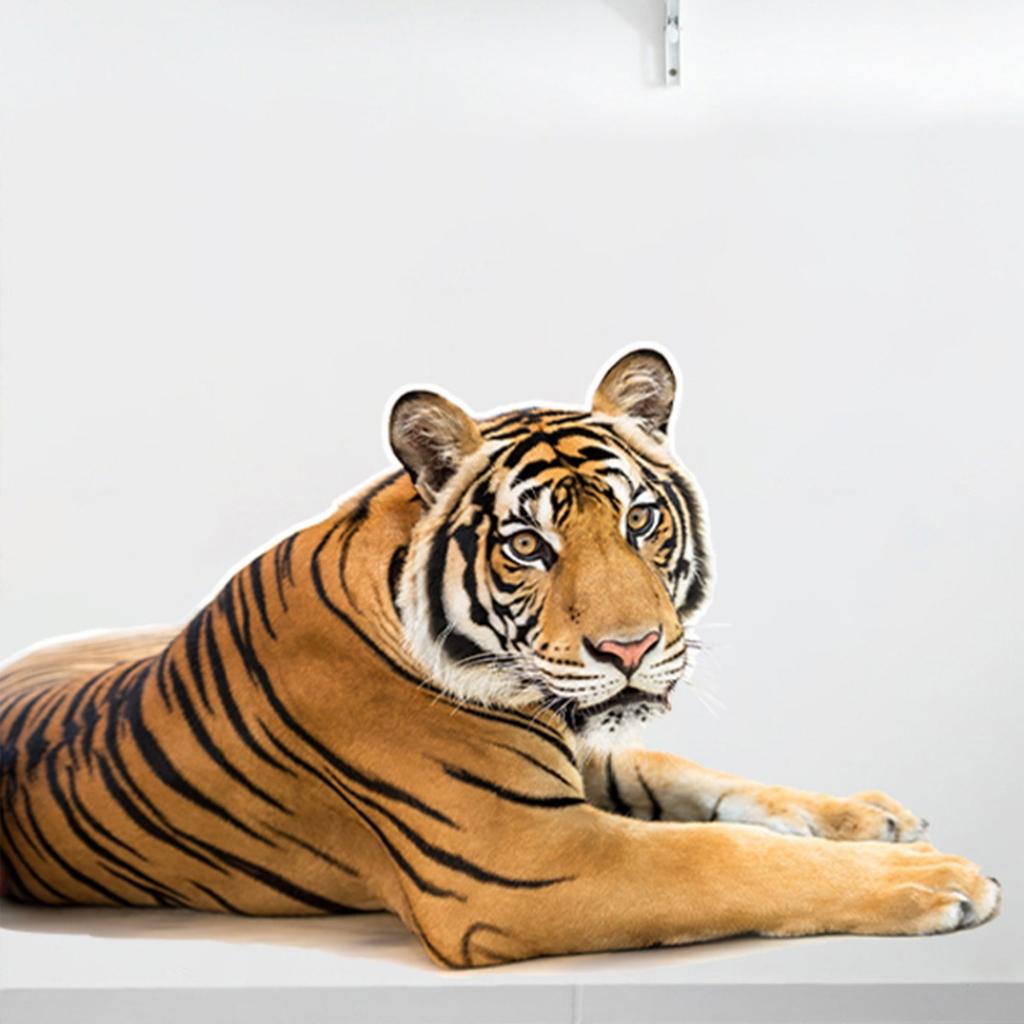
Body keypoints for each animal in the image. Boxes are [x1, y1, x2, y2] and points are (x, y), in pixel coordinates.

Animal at [0, 349, 1000, 968]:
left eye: (640, 519)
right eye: (528, 546)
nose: (632, 647)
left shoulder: (585, 760)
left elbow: (707, 786)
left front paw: (871, 817)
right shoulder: (528, 860)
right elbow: (728, 859)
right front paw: (942, 878)